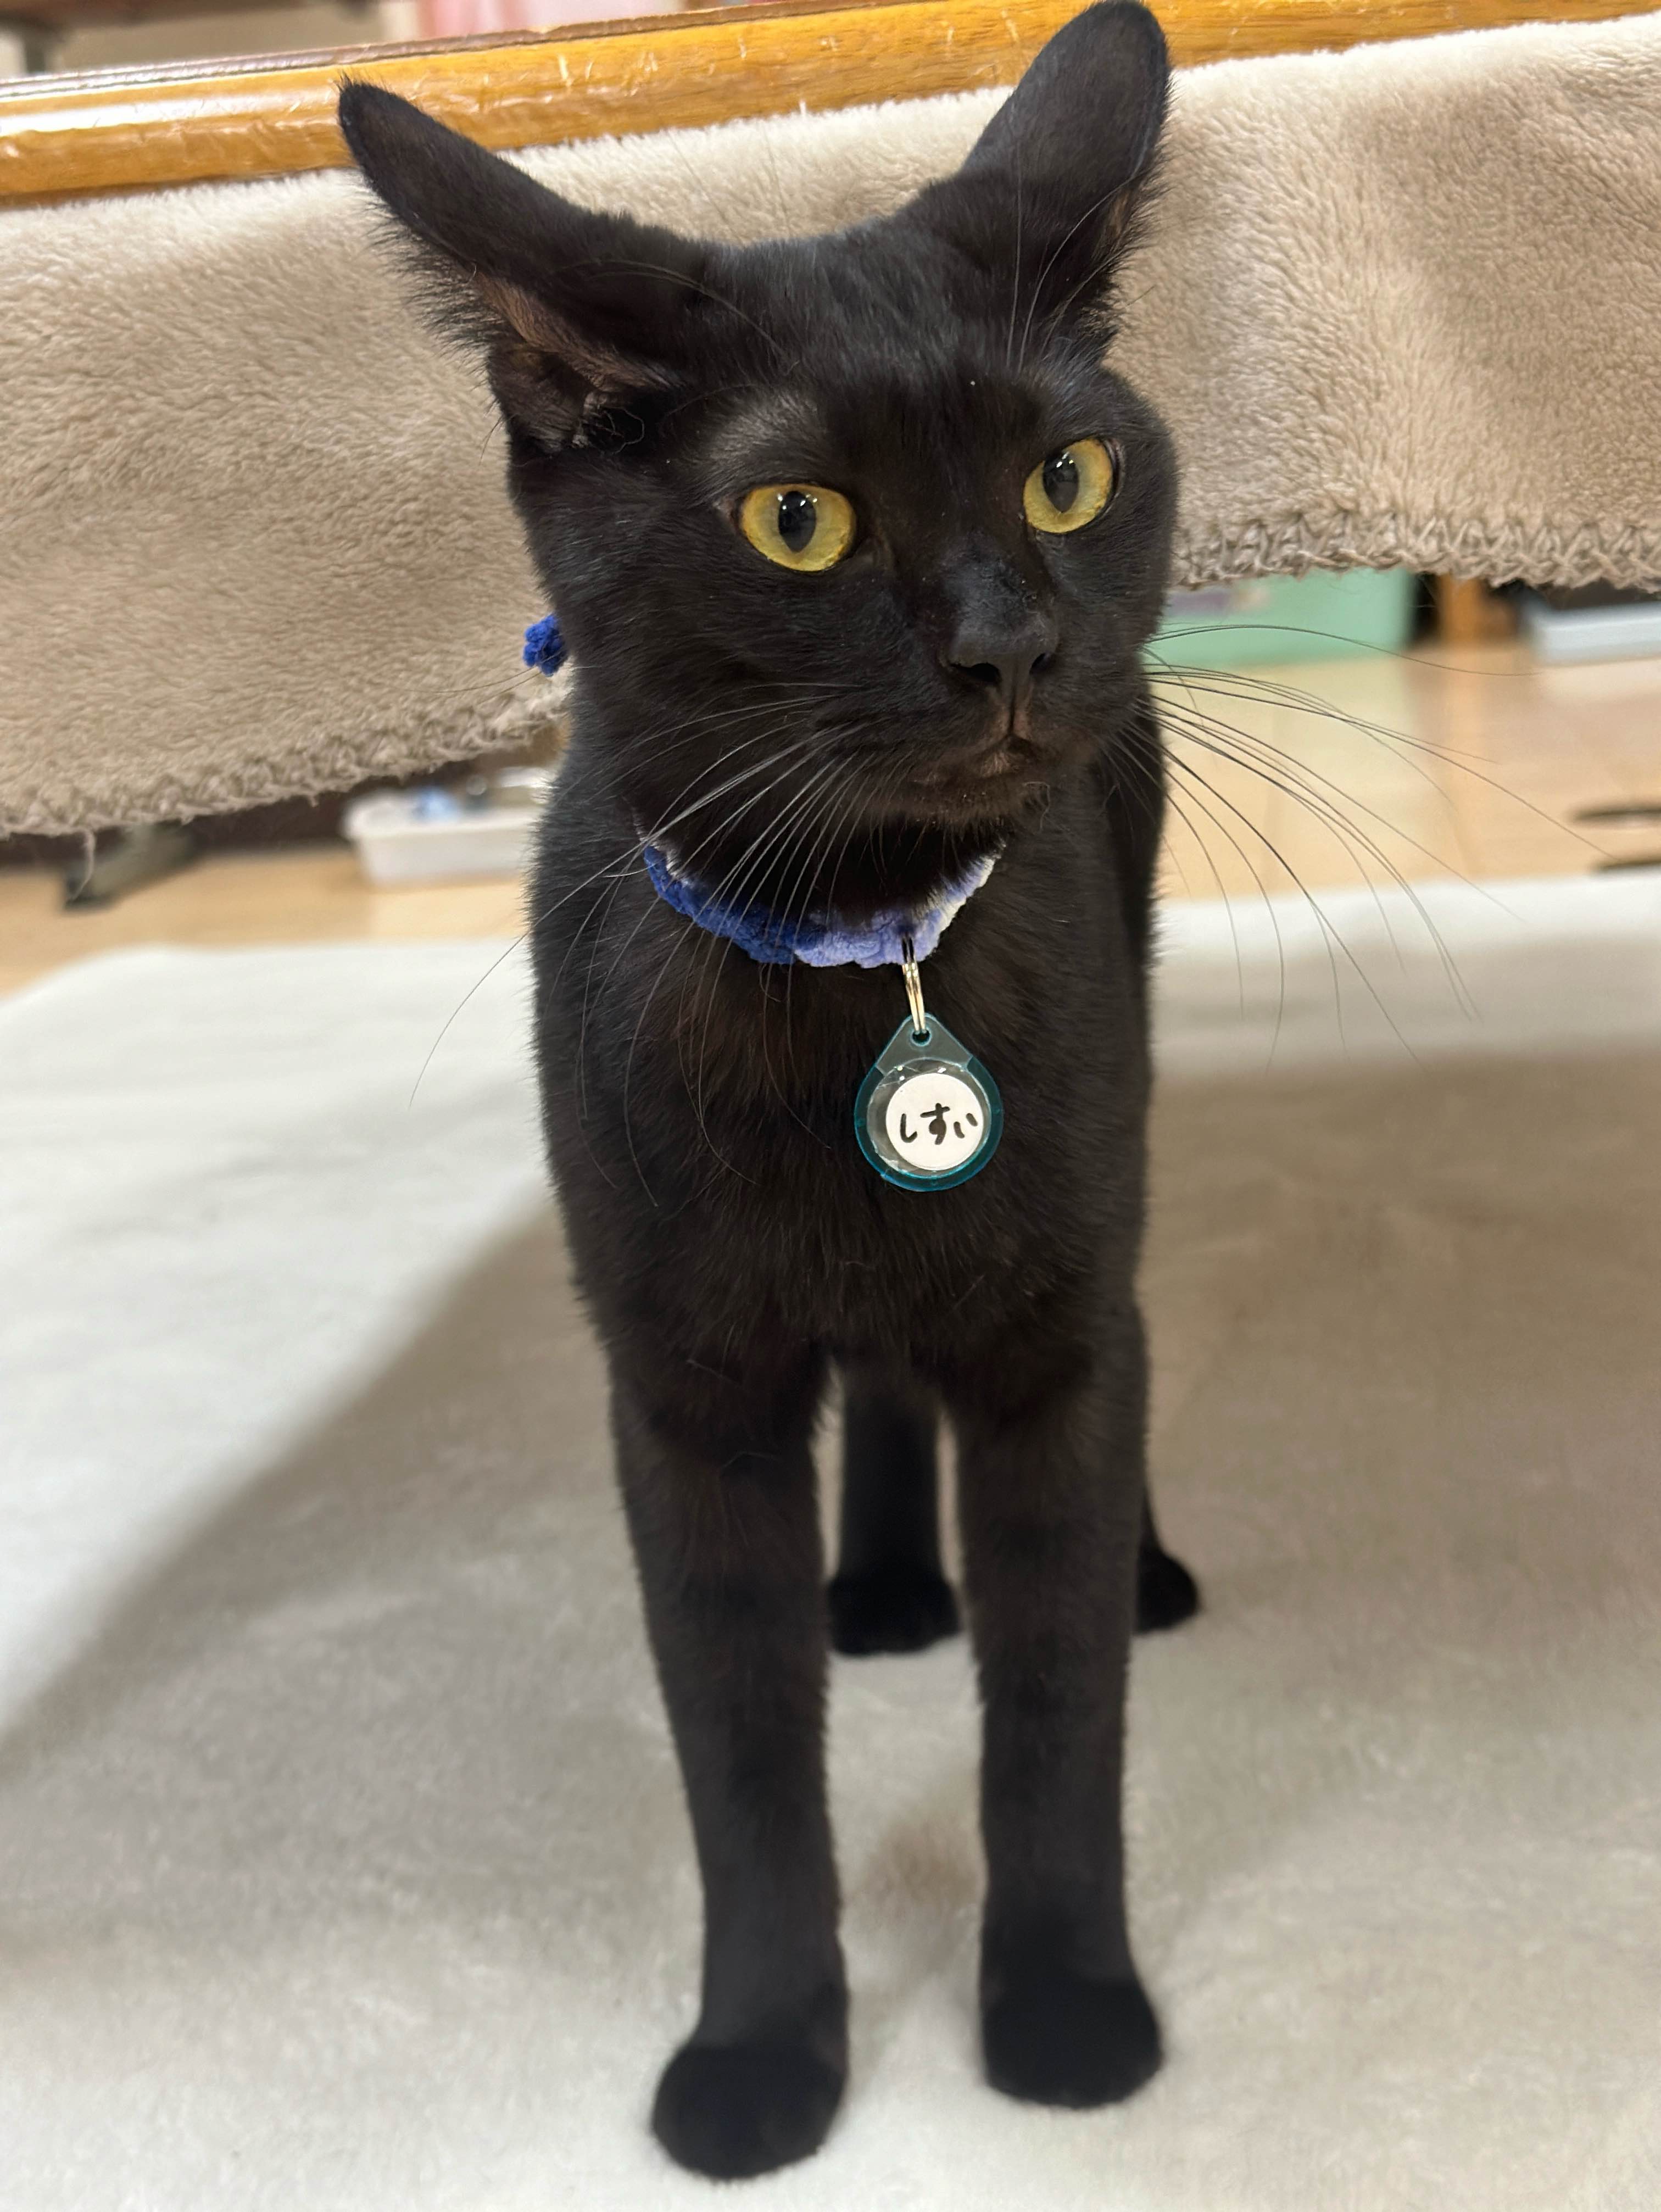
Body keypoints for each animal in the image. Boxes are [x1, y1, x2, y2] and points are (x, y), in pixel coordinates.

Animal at [340, 0, 1200, 2178]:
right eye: (795, 520)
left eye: (1068, 474)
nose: (1008, 643)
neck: (854, 965)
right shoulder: (683, 1393)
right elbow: (737, 1765)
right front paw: (758, 2058)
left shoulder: (1055, 1338)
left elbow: (1056, 1710)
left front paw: (1063, 2013)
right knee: (882, 1379)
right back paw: (882, 1582)